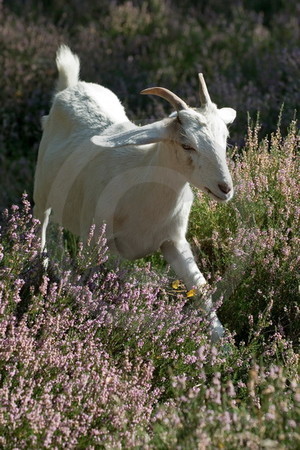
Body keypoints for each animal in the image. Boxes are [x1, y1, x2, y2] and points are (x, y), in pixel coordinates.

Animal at [34, 45, 236, 342]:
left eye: (225, 137)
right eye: (186, 145)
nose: (225, 187)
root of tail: (71, 87)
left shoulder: (173, 241)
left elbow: (200, 286)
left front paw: (222, 343)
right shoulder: (101, 243)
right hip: (41, 190)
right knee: (41, 226)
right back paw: (41, 266)